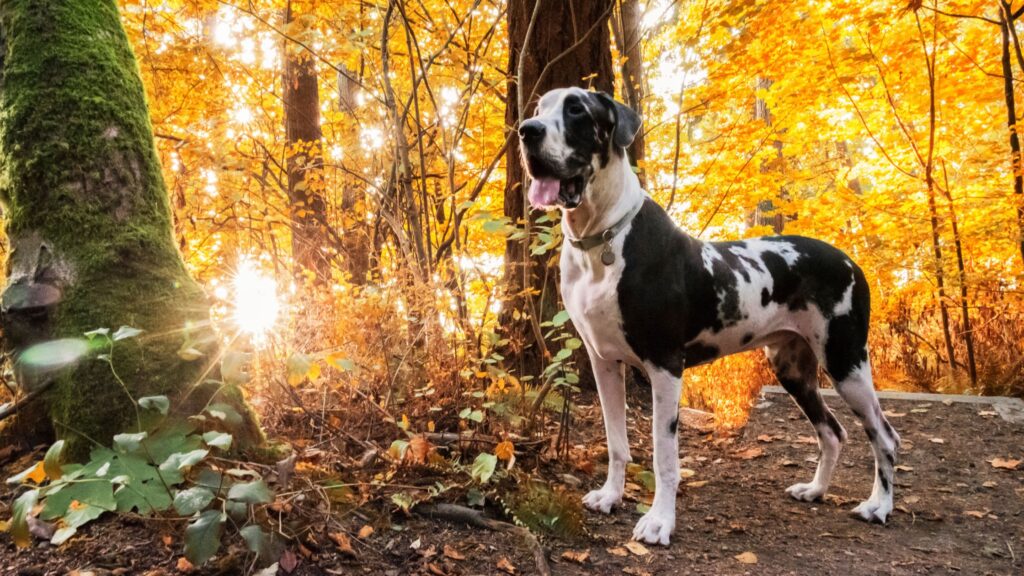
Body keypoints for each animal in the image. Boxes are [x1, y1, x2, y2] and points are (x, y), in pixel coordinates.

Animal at [524, 87, 901, 545]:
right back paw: (815, 490)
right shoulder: (604, 363)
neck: (603, 240)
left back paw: (879, 506)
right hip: (792, 367)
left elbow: (664, 456)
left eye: (577, 109)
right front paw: (611, 496)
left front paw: (659, 521)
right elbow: (616, 442)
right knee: (832, 431)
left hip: (846, 362)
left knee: (884, 436)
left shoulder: (665, 366)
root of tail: (851, 262)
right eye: (539, 109)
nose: (526, 131)